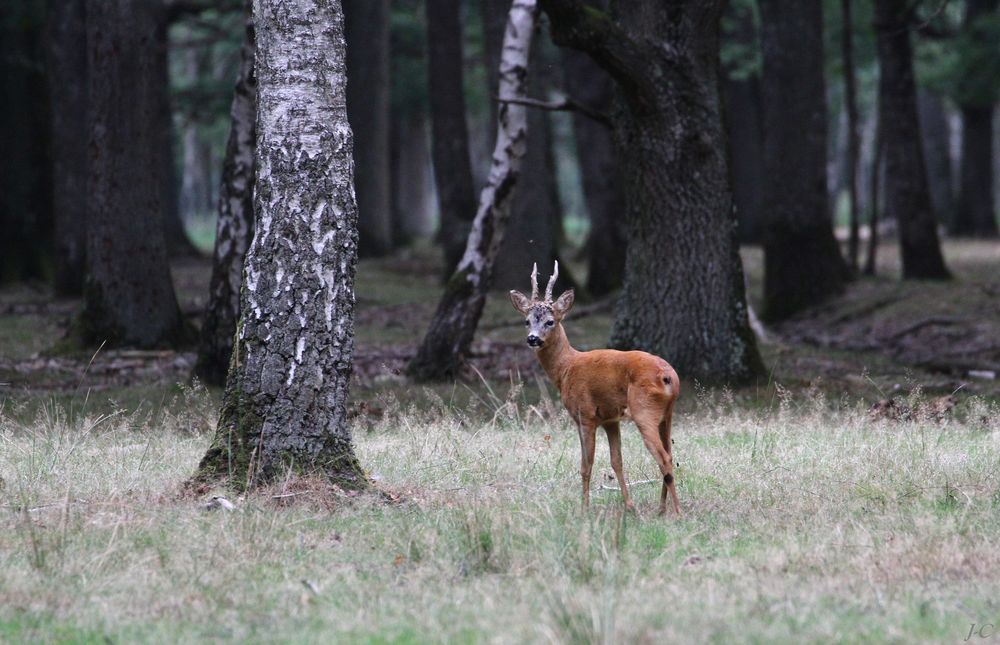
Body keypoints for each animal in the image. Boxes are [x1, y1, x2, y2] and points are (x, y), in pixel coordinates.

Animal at [508, 260, 680, 516]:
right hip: (666, 416)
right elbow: (616, 461)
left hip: (644, 411)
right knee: (670, 454)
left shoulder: (585, 415)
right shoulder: (610, 419)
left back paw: (677, 512)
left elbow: (585, 465)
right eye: (527, 321)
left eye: (550, 321)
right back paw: (660, 508)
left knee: (664, 458)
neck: (566, 369)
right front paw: (629, 506)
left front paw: (584, 509)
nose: (533, 339)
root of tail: (669, 377)